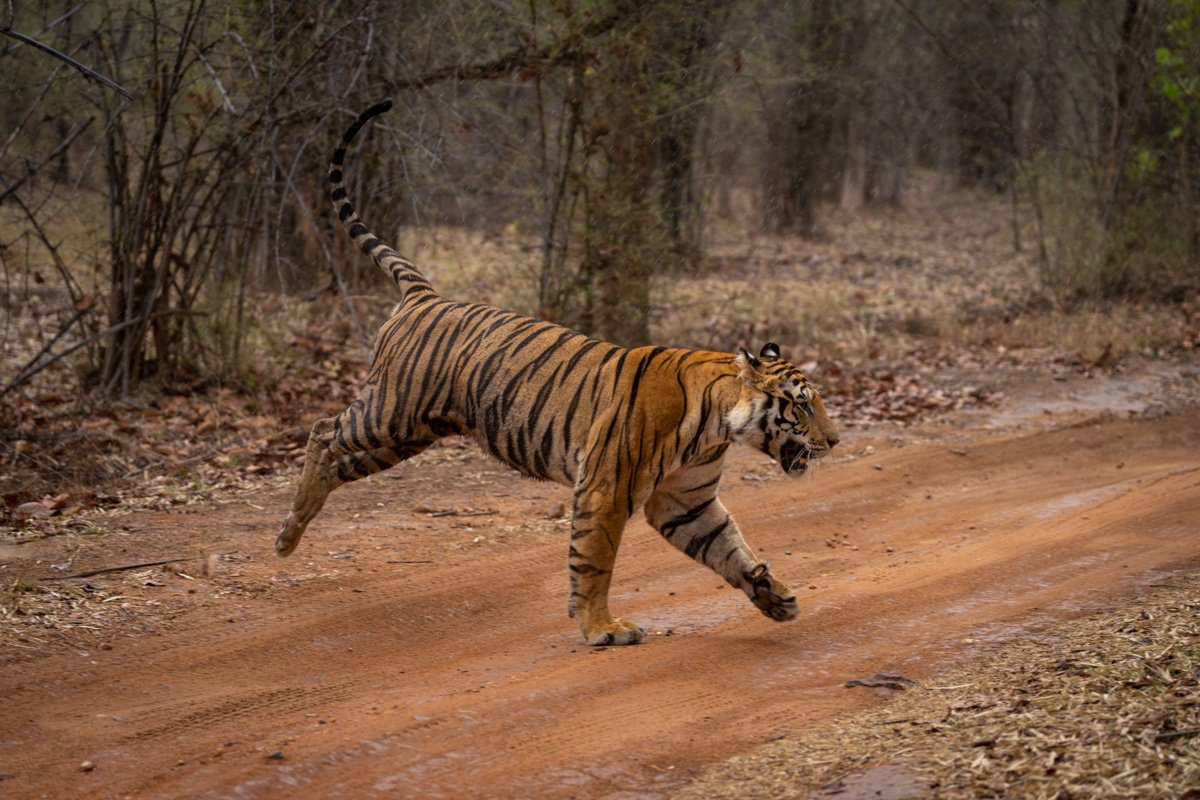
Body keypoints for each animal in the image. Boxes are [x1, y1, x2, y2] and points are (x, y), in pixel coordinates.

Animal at [273, 98, 840, 642]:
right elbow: (594, 561)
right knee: (323, 431)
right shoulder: (605, 489)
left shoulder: (687, 501)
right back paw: (289, 529)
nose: (835, 441)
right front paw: (602, 628)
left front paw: (775, 597)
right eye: (801, 405)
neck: (717, 426)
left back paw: (292, 529)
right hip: (391, 412)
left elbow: (729, 548)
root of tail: (424, 294)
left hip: (407, 435)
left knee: (339, 461)